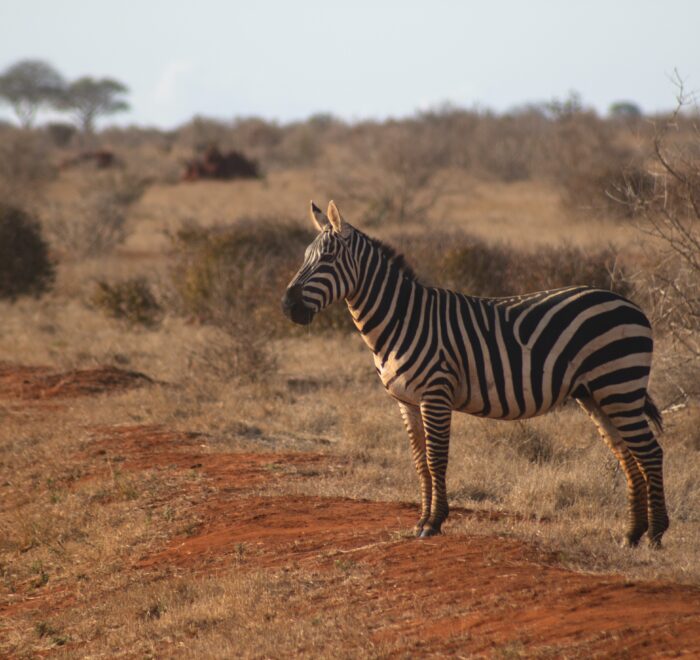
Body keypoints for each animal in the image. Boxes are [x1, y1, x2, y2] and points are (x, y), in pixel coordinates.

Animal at [282, 200, 668, 548]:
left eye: (327, 259)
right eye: (304, 257)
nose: (287, 307)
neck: (401, 320)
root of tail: (632, 306)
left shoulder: (435, 395)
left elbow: (436, 460)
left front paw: (434, 523)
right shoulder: (406, 402)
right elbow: (420, 463)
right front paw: (421, 520)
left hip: (618, 384)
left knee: (650, 452)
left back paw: (656, 534)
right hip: (596, 393)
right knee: (627, 454)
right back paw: (631, 534)